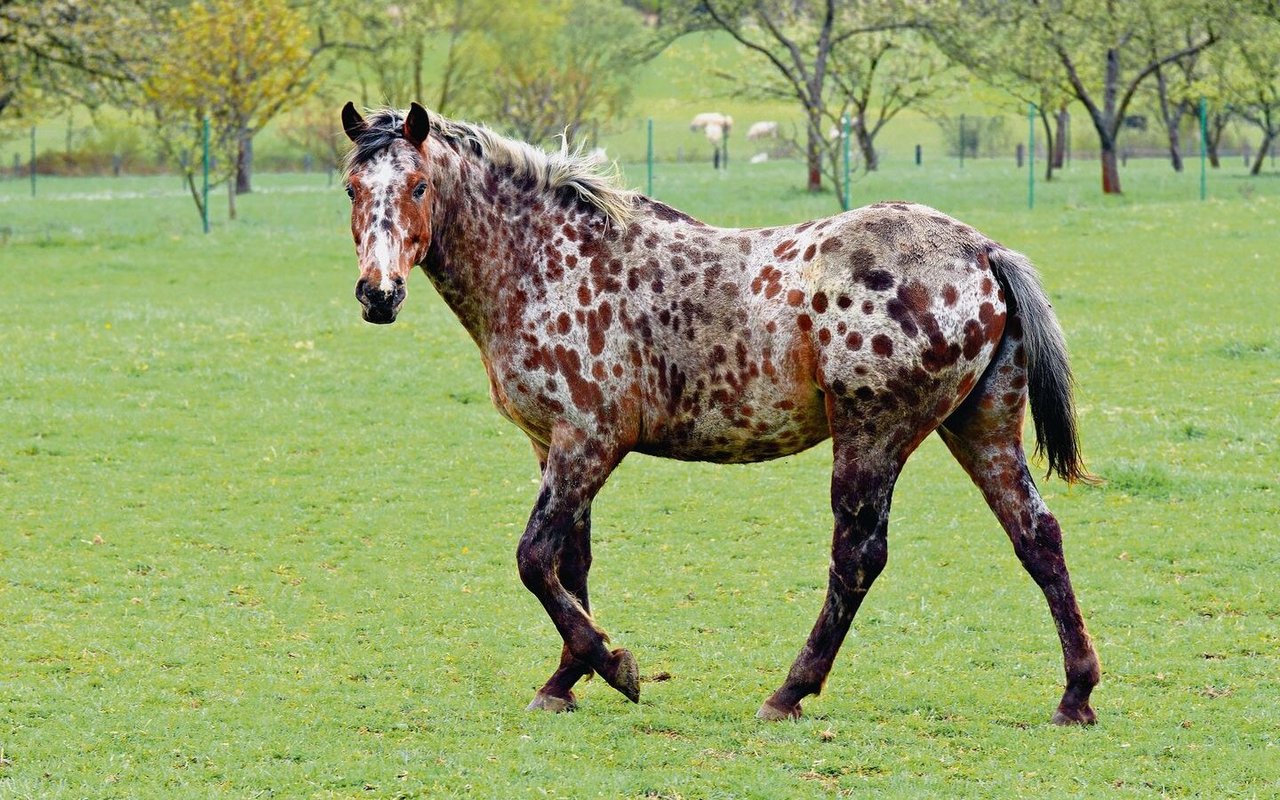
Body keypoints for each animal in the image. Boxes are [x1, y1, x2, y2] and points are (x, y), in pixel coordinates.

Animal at [340, 101, 1100, 721]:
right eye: (352, 188)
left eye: (418, 186)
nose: (378, 295)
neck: (548, 262)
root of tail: (983, 251)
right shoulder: (554, 443)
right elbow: (570, 565)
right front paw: (568, 679)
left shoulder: (589, 441)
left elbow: (534, 560)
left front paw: (613, 666)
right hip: (981, 428)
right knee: (1037, 537)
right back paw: (1076, 694)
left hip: (873, 435)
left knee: (858, 556)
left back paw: (789, 691)